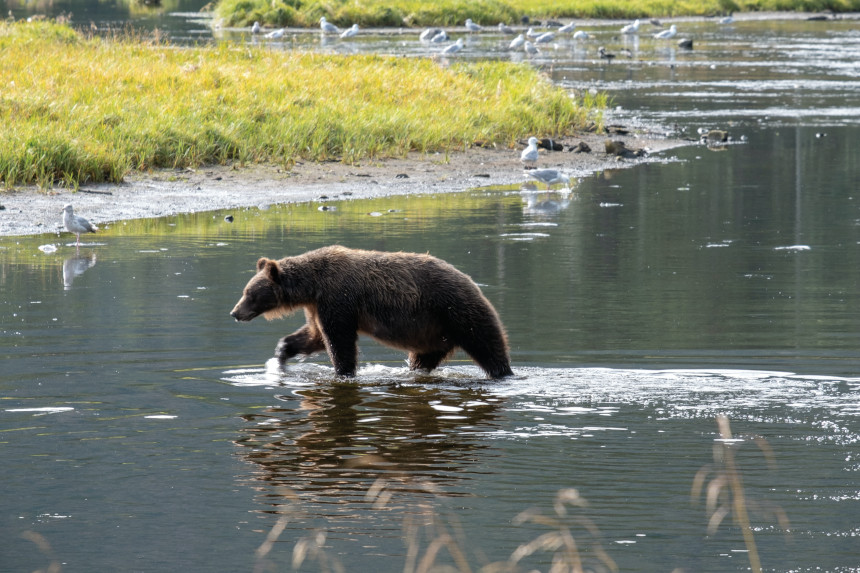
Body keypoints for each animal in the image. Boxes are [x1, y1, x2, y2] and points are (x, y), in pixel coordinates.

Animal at [227, 244, 516, 378]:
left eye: (249, 294)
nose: (234, 313)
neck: (312, 286)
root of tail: (473, 284)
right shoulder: (317, 306)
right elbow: (314, 336)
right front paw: (282, 353)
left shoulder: (338, 298)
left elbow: (338, 340)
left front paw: (343, 371)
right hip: (434, 334)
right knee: (422, 358)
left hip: (457, 312)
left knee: (488, 346)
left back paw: (503, 372)